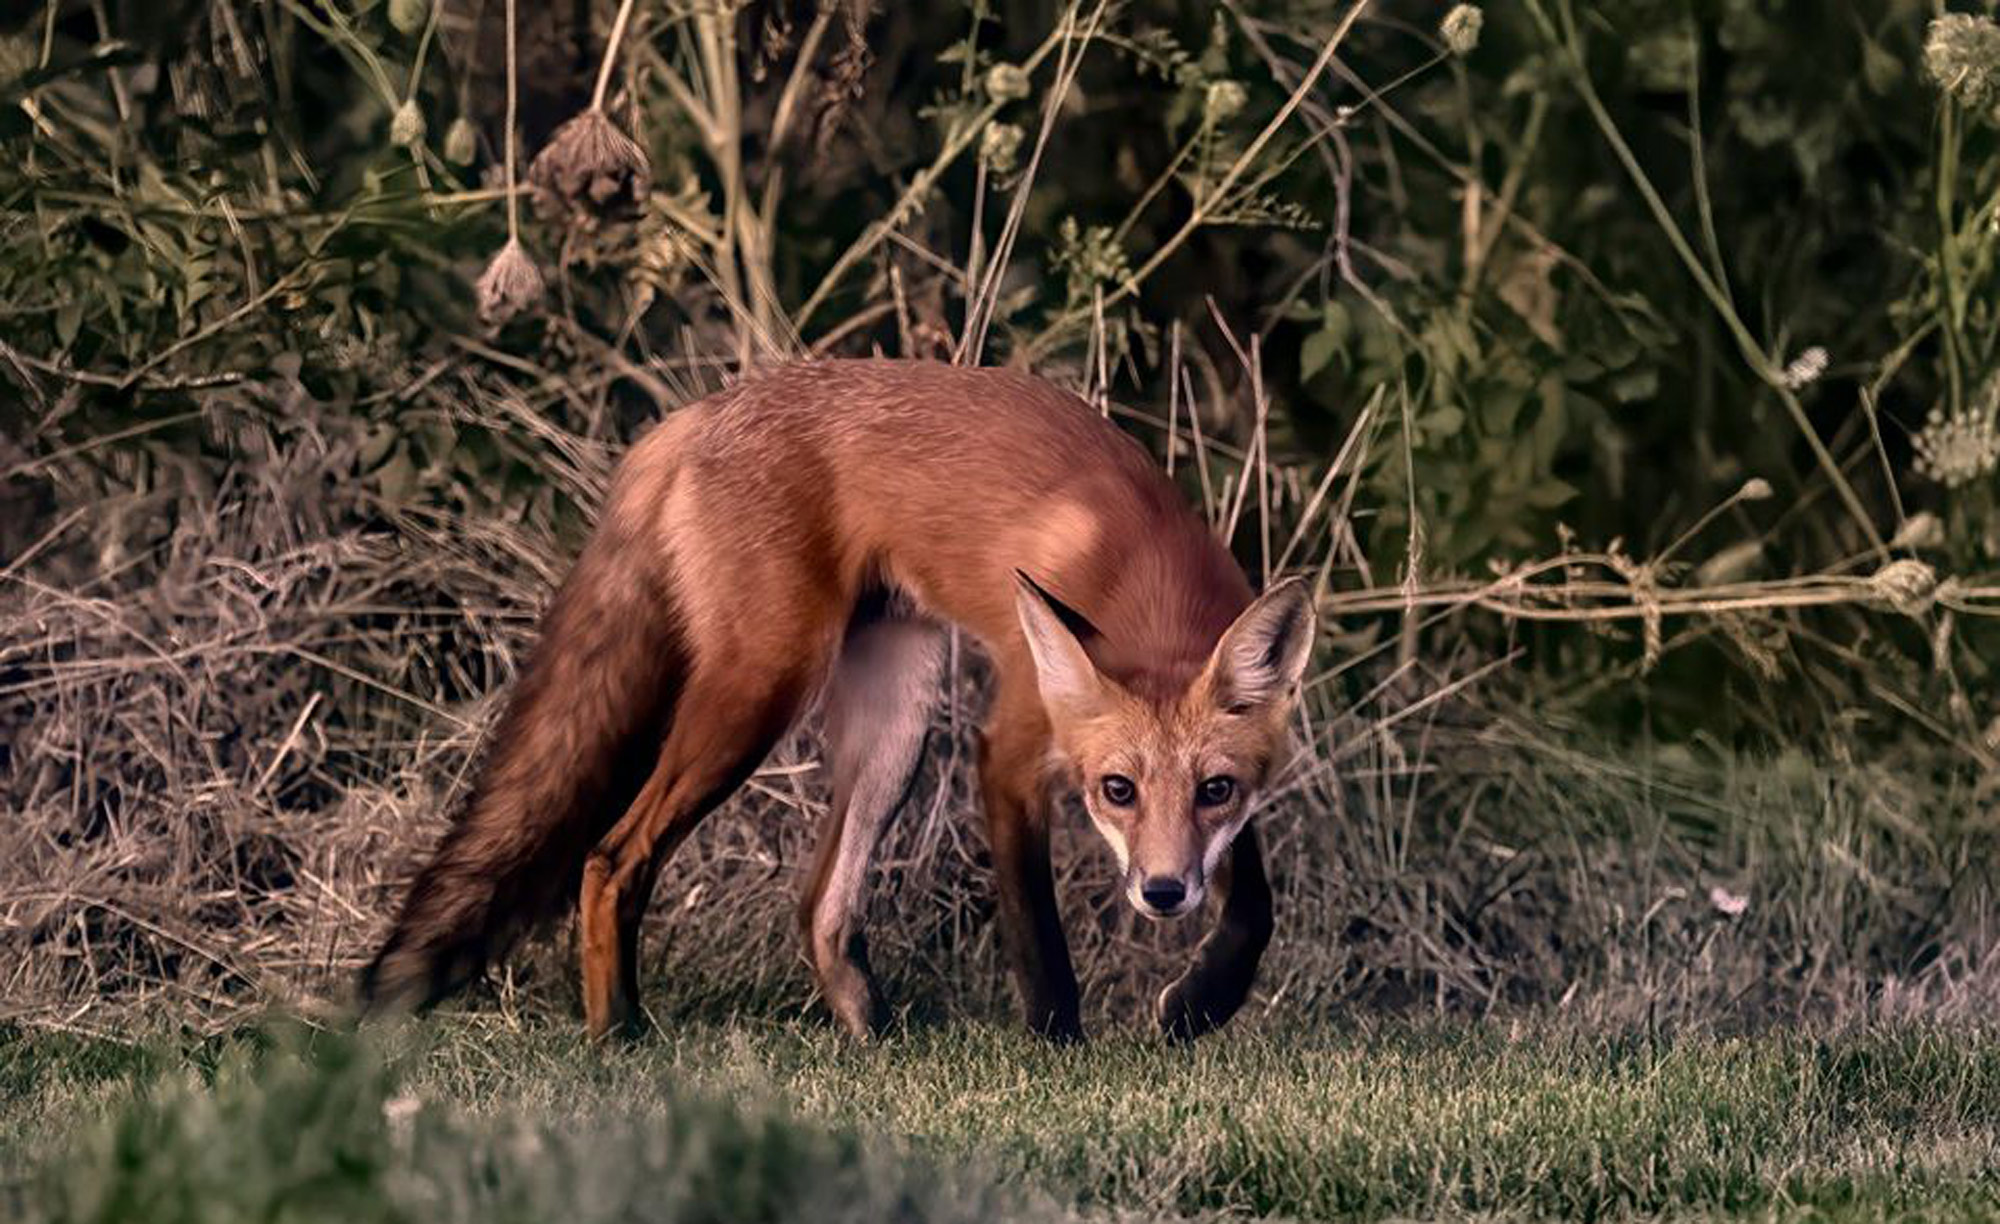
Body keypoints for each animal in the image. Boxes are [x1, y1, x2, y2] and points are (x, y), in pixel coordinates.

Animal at [364, 356, 1312, 1040]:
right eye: (1116, 791)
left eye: (1214, 789)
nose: (1164, 894)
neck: (1145, 581)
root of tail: (692, 417)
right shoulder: (1008, 753)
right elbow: (1037, 932)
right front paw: (1059, 1047)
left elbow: (1256, 910)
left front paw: (1201, 1005)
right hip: (760, 690)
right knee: (612, 856)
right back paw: (619, 1036)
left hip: (898, 720)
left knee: (818, 904)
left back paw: (869, 1038)